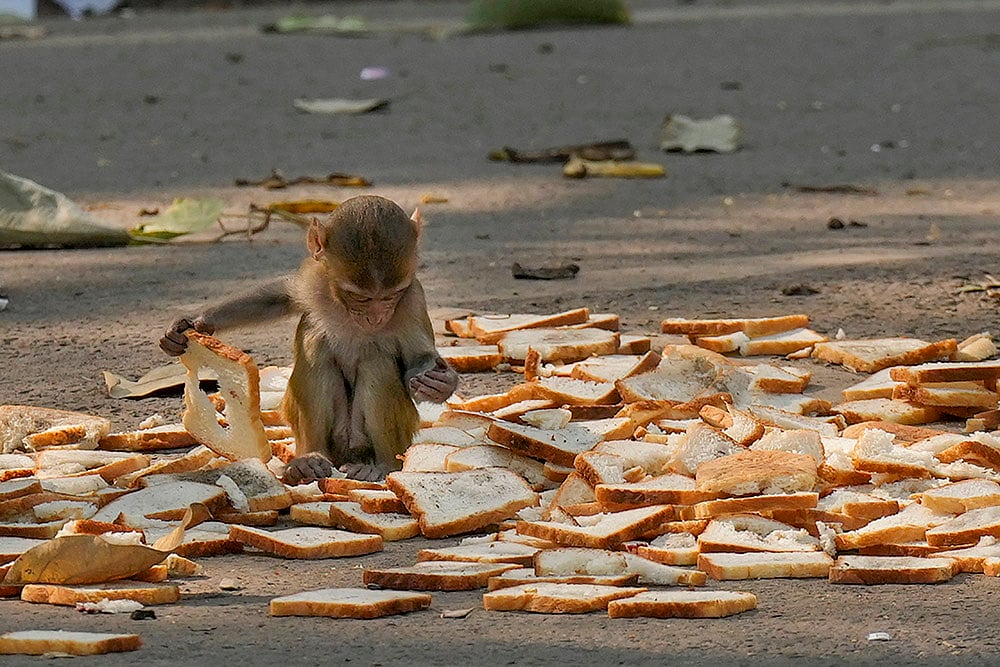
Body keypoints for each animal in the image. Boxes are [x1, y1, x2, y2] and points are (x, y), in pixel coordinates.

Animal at [160, 195, 459, 483]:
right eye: (360, 297)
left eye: (391, 295)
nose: (375, 318)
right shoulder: (315, 277)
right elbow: (275, 298)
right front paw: (192, 324)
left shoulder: (413, 301)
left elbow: (417, 360)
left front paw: (440, 383)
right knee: (317, 347)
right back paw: (307, 462)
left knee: (377, 363)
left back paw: (380, 466)